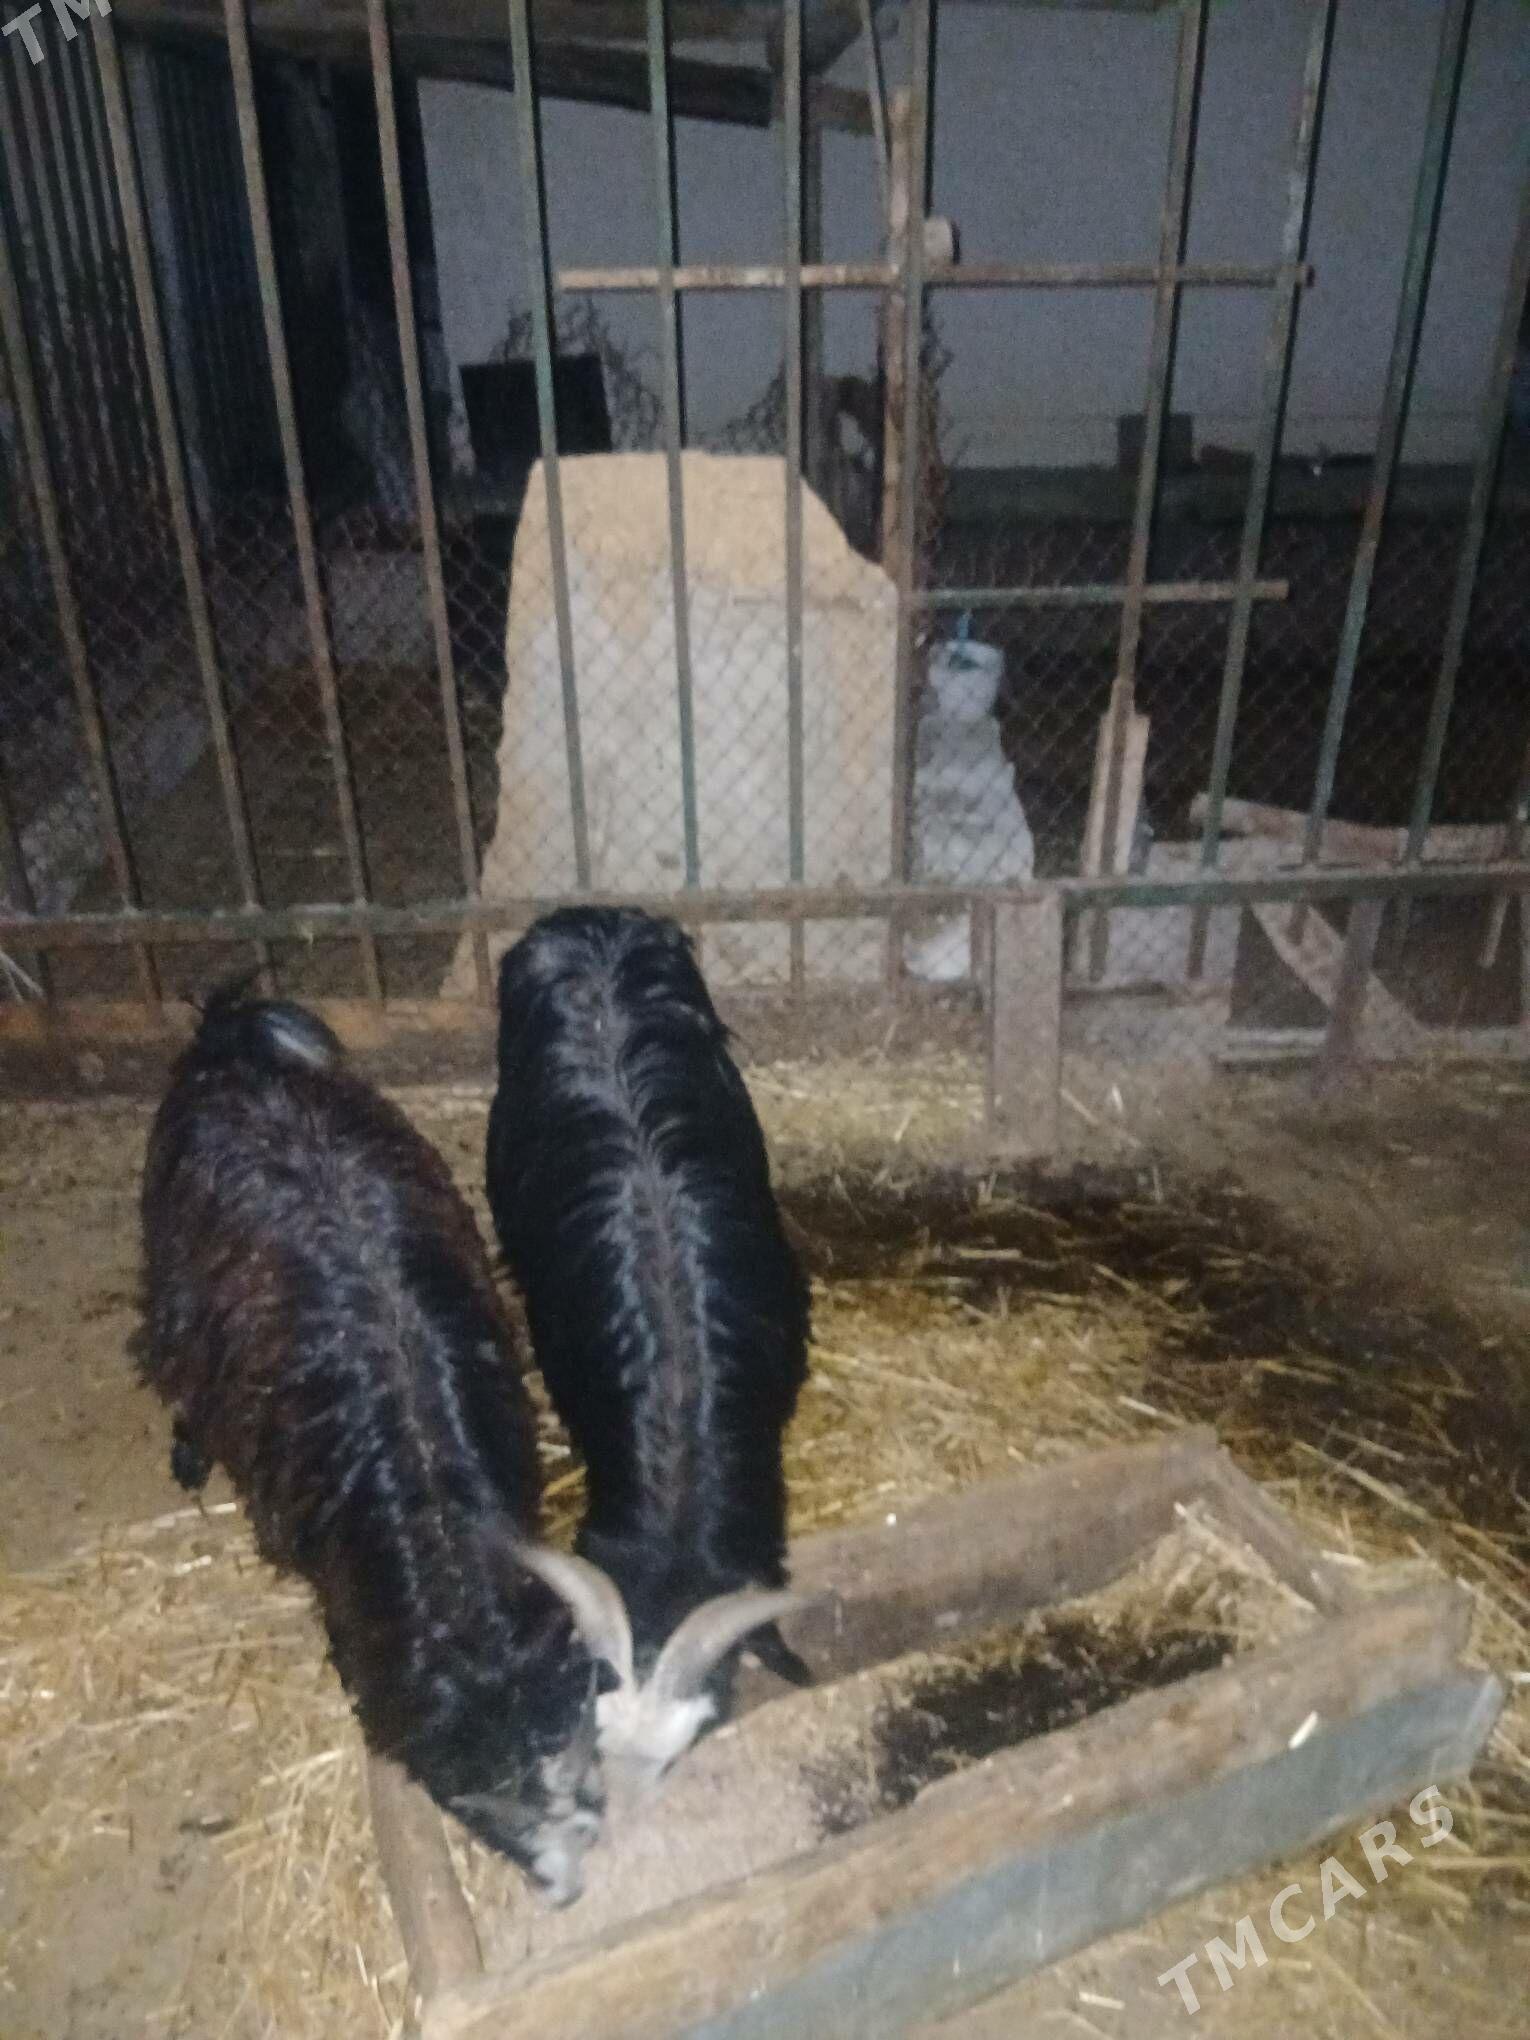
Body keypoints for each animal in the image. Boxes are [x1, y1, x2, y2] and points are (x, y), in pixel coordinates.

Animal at [136, 984, 613, 1904]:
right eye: (474, 1802)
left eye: (575, 1768)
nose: (566, 1887)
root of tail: (238, 1043)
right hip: (174, 1285)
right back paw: (184, 1454)